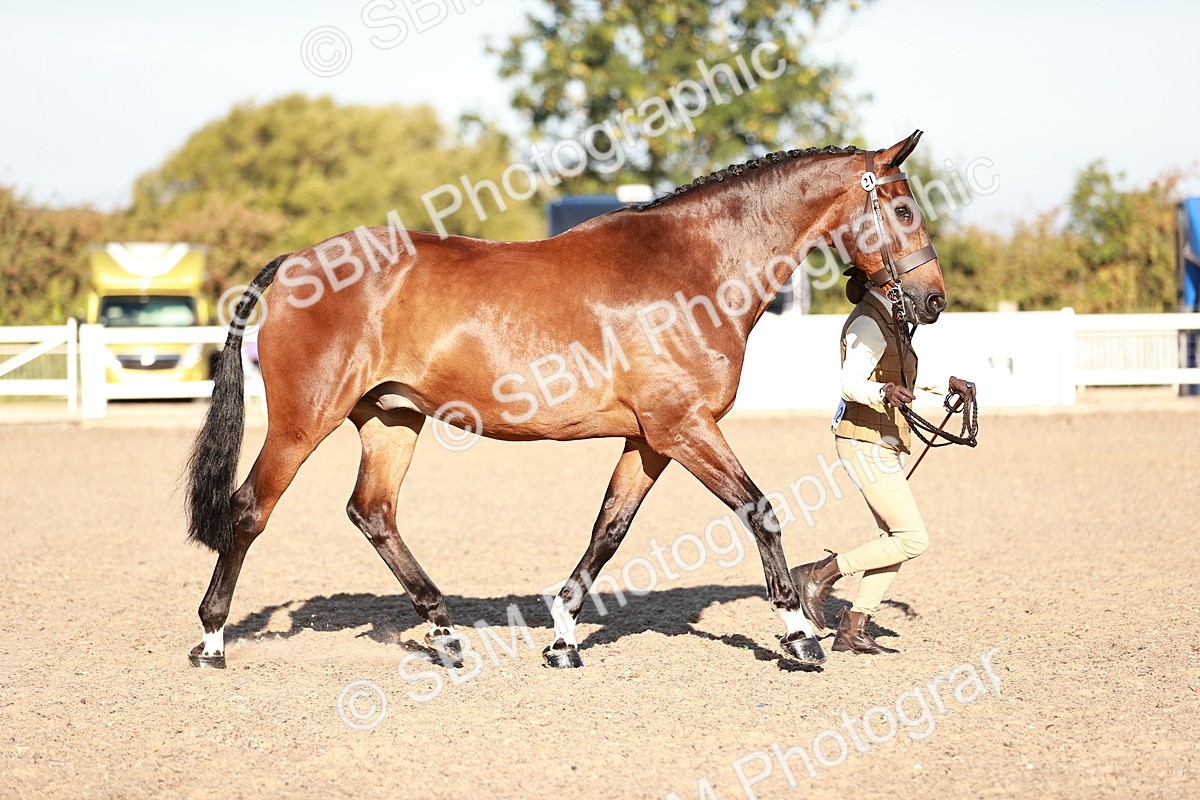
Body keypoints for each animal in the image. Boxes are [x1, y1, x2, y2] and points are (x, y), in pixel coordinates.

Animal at [185, 130, 945, 670]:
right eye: (904, 207)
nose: (932, 301)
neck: (694, 269)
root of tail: (298, 261)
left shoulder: (649, 440)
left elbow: (609, 530)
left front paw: (562, 636)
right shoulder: (685, 429)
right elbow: (759, 512)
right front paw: (799, 635)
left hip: (391, 419)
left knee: (373, 513)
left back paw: (446, 634)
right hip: (303, 421)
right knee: (249, 511)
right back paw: (213, 640)